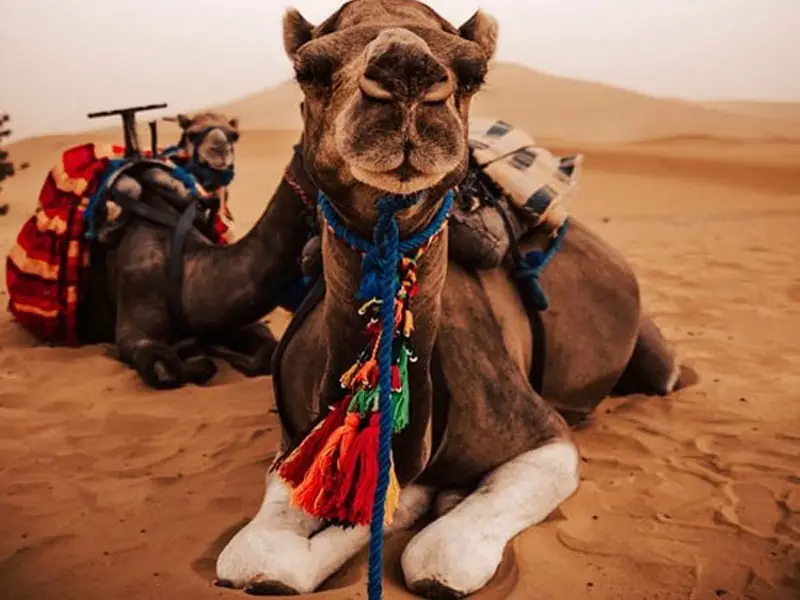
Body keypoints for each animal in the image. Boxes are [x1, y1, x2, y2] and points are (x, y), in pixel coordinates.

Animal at [214, 1, 683, 598]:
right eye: (308, 69)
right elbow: (253, 559)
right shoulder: (295, 444)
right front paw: (412, 498)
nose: (405, 73)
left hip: (653, 357)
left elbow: (440, 558)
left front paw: (424, 502)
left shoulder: (546, 438)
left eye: (473, 71)